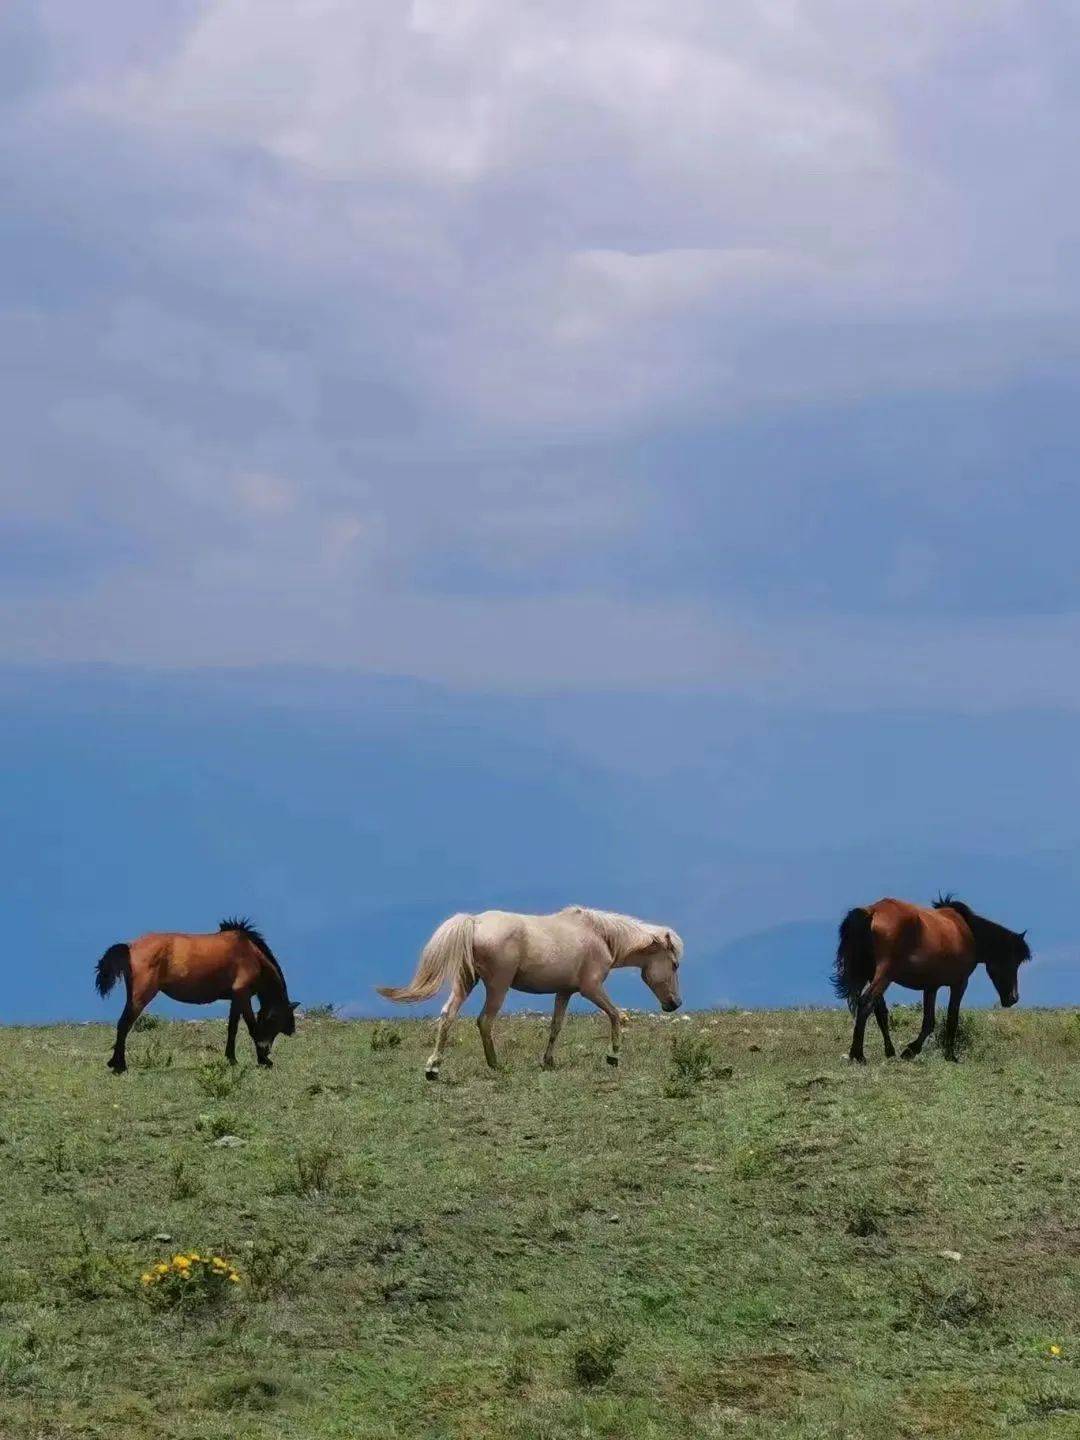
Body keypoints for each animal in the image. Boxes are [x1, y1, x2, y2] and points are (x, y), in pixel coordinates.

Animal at [95, 915, 298, 1077]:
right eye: (279, 1019)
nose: (266, 1052)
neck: (250, 953)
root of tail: (130, 947)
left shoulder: (235, 998)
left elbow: (232, 1028)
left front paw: (231, 1059)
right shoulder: (243, 994)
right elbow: (252, 1027)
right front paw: (262, 1060)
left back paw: (115, 1063)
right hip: (141, 996)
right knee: (124, 1025)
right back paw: (120, 1066)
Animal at [380, 898, 685, 1082]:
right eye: (674, 964)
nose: (675, 1003)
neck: (600, 936)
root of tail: (475, 922)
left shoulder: (565, 992)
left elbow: (556, 1026)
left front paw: (548, 1060)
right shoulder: (591, 989)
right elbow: (615, 1015)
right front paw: (613, 1056)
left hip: (465, 982)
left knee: (447, 1016)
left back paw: (433, 1067)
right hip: (497, 987)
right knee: (484, 1020)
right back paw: (495, 1064)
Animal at [835, 892, 1036, 1065]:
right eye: (1012, 962)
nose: (1013, 998)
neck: (967, 932)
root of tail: (872, 912)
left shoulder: (931, 986)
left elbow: (929, 1022)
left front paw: (910, 1051)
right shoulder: (959, 984)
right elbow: (951, 1018)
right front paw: (949, 1056)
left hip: (873, 975)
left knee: (879, 1011)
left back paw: (889, 1052)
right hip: (885, 975)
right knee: (866, 1003)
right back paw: (858, 1055)